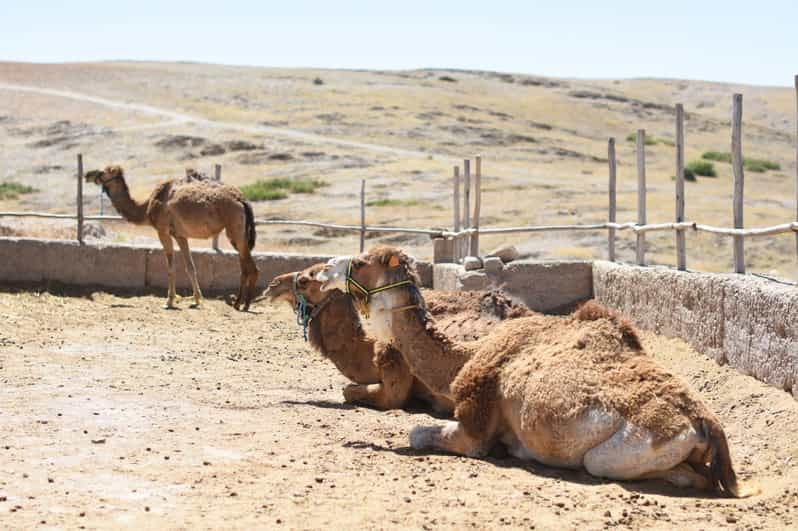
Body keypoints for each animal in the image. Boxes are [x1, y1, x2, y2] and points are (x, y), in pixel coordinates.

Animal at [84, 166, 260, 312]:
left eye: (102, 172)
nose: (87, 175)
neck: (146, 207)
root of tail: (242, 200)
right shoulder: (180, 235)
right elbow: (190, 266)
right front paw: (196, 300)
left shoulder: (163, 231)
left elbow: (170, 266)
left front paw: (169, 301)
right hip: (238, 233)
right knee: (246, 266)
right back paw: (241, 303)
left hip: (235, 229)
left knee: (250, 267)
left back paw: (242, 304)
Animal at [318, 247, 756, 496]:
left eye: (362, 261)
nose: (323, 269)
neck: (464, 357)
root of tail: (706, 424)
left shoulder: (473, 426)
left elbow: (419, 433)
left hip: (625, 450)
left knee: (681, 475)